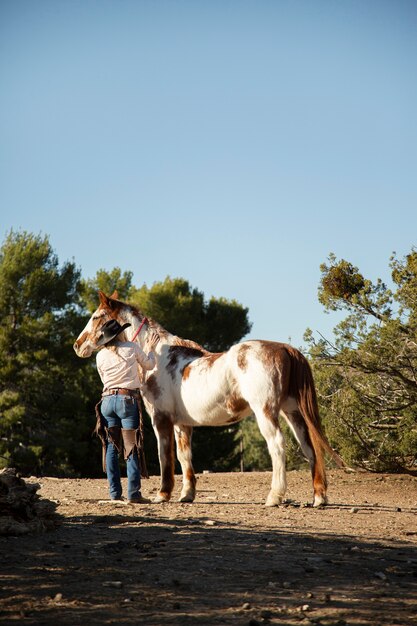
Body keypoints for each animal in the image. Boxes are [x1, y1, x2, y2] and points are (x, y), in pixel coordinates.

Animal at [73, 290, 342, 504]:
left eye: (96, 316)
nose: (78, 345)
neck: (158, 356)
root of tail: (285, 348)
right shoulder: (182, 424)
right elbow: (185, 458)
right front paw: (186, 495)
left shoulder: (161, 420)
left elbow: (165, 456)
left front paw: (163, 494)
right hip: (292, 412)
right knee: (309, 448)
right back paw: (318, 498)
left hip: (266, 412)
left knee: (277, 445)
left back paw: (274, 497)